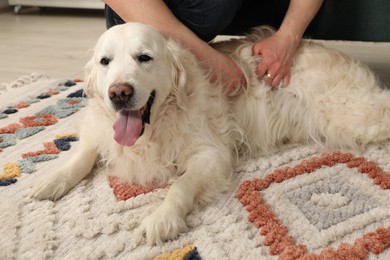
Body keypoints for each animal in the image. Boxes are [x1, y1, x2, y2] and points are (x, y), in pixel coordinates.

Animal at [32, 22, 390, 244]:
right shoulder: (100, 132)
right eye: (104, 61)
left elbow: (180, 186)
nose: (119, 93)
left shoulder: (212, 155)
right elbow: (81, 155)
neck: (155, 126)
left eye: (144, 57)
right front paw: (52, 179)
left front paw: (162, 217)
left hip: (349, 114)